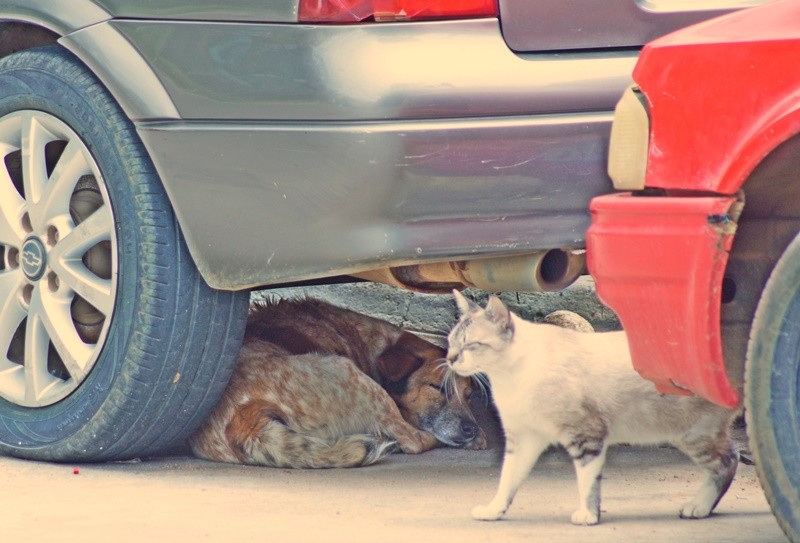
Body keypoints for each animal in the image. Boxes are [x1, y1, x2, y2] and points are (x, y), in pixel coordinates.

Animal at [189, 298, 488, 468]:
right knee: (413, 439)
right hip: (352, 375)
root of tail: (245, 420)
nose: (471, 428)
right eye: (437, 388)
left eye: (469, 395)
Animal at [444, 294, 736, 528]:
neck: (510, 377)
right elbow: (507, 479)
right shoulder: (524, 439)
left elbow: (587, 481)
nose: (449, 358)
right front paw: (494, 510)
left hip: (693, 435)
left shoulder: (586, 434)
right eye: (451, 342)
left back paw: (699, 506)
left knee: (728, 462)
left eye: (470, 344)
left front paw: (588, 515)